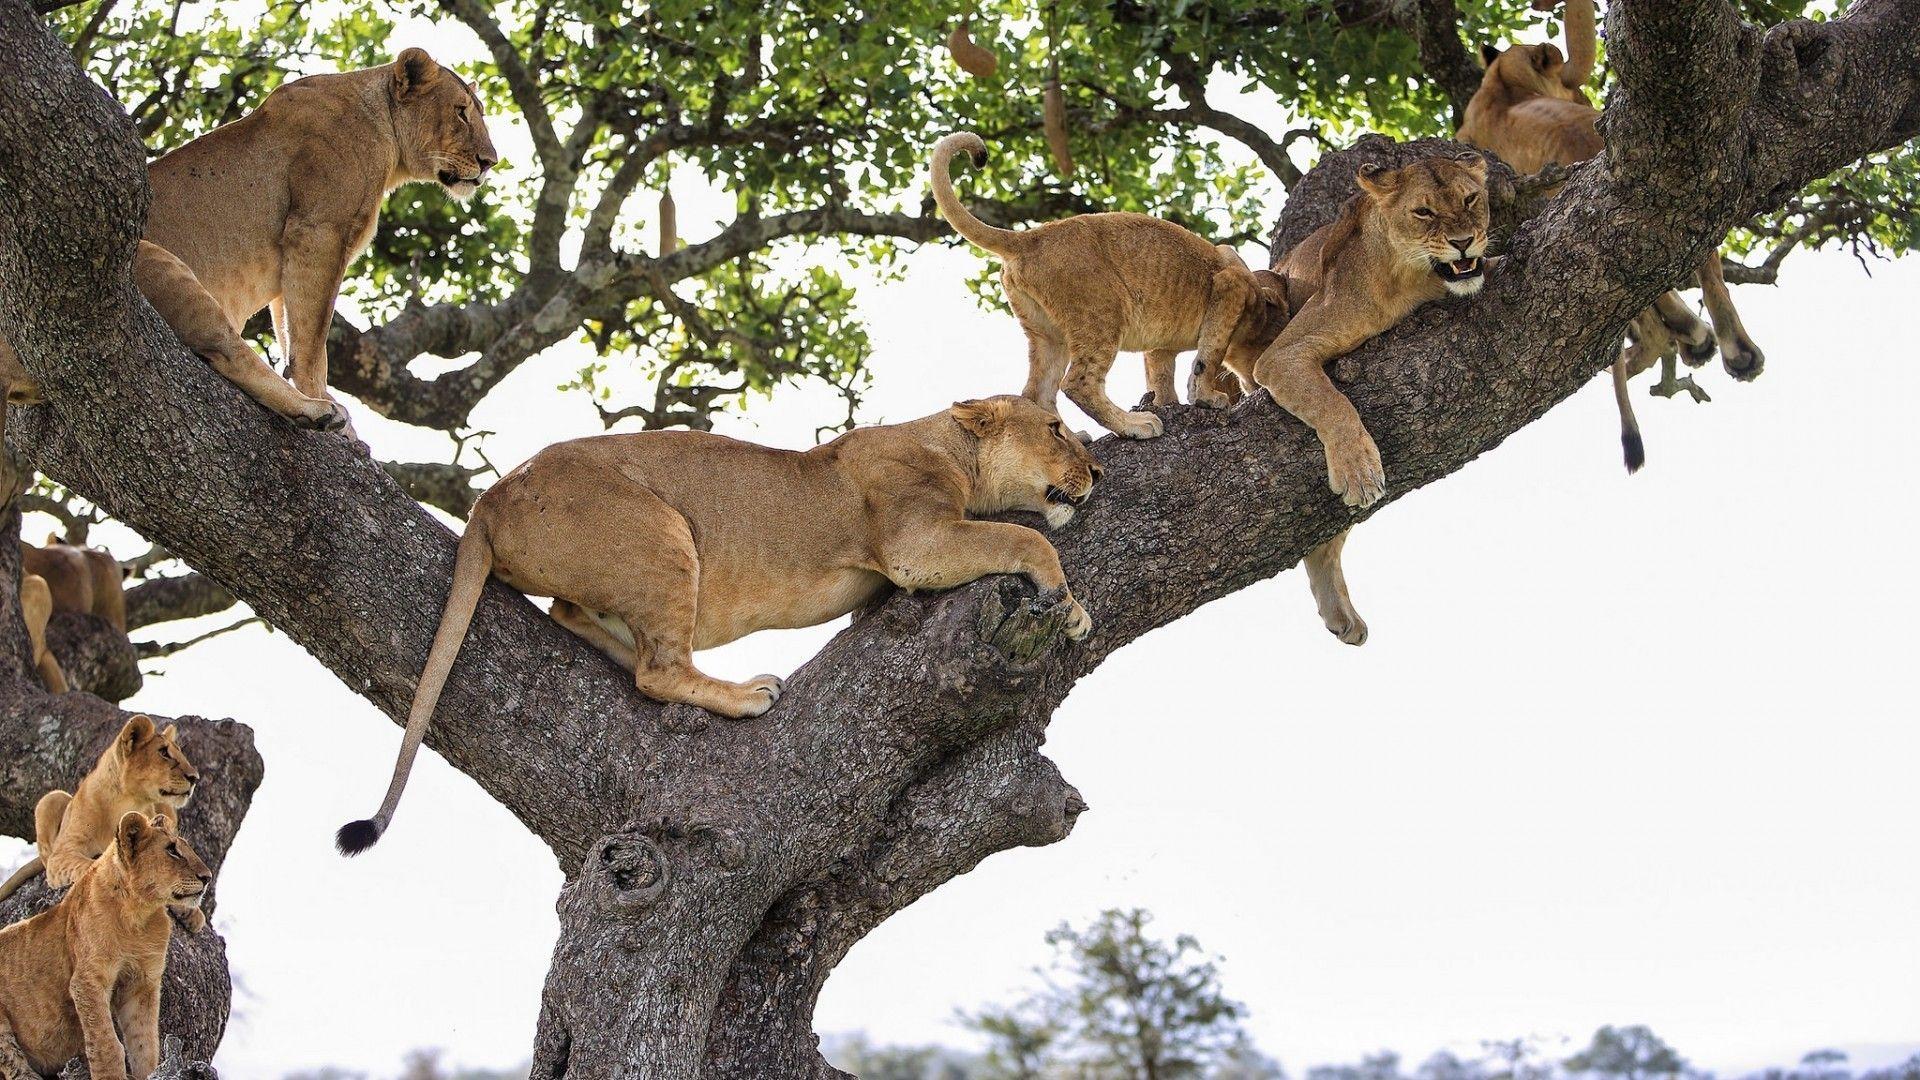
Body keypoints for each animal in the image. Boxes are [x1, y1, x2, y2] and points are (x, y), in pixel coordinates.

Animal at [0, 716, 199, 903]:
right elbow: (86, 866)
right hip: (51, 799)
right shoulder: (63, 853)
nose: (195, 778)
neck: (129, 801)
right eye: (164, 752)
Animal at [0, 812, 210, 1080]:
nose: (207, 877)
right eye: (172, 850)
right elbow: (106, 1043)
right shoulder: (88, 980)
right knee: (14, 1064)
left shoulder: (143, 982)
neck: (139, 917)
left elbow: (145, 1043)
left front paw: (149, 1072)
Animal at [337, 395, 1101, 854]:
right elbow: (1024, 538)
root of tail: (489, 498)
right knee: (657, 670)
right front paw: (1069, 605)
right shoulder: (916, 539)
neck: (948, 443)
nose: (1095, 469)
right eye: (1057, 428)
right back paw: (746, 694)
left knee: (578, 617)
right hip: (662, 532)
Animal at [929, 132, 1292, 440]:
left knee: (1037, 393)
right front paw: (1206, 397)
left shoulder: (1161, 346)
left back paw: (1073, 440)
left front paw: (1170, 402)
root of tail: (1030, 237)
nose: (1258, 385)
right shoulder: (1229, 286)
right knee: (1078, 383)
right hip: (1102, 313)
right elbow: (1210, 355)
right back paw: (1134, 425)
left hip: (1047, 334)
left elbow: (1161, 375)